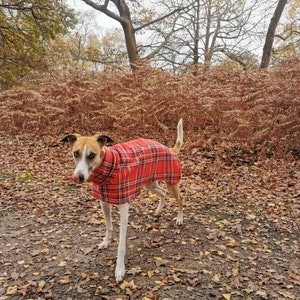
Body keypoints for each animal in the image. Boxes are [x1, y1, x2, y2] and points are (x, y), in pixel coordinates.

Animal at [60, 118, 183, 282]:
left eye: (92, 155)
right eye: (76, 153)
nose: (77, 177)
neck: (107, 169)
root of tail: (170, 149)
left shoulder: (124, 209)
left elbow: (121, 245)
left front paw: (119, 269)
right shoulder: (104, 203)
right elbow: (108, 226)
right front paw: (106, 242)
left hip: (171, 182)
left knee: (180, 199)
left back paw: (180, 218)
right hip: (150, 184)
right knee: (162, 192)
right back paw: (158, 211)